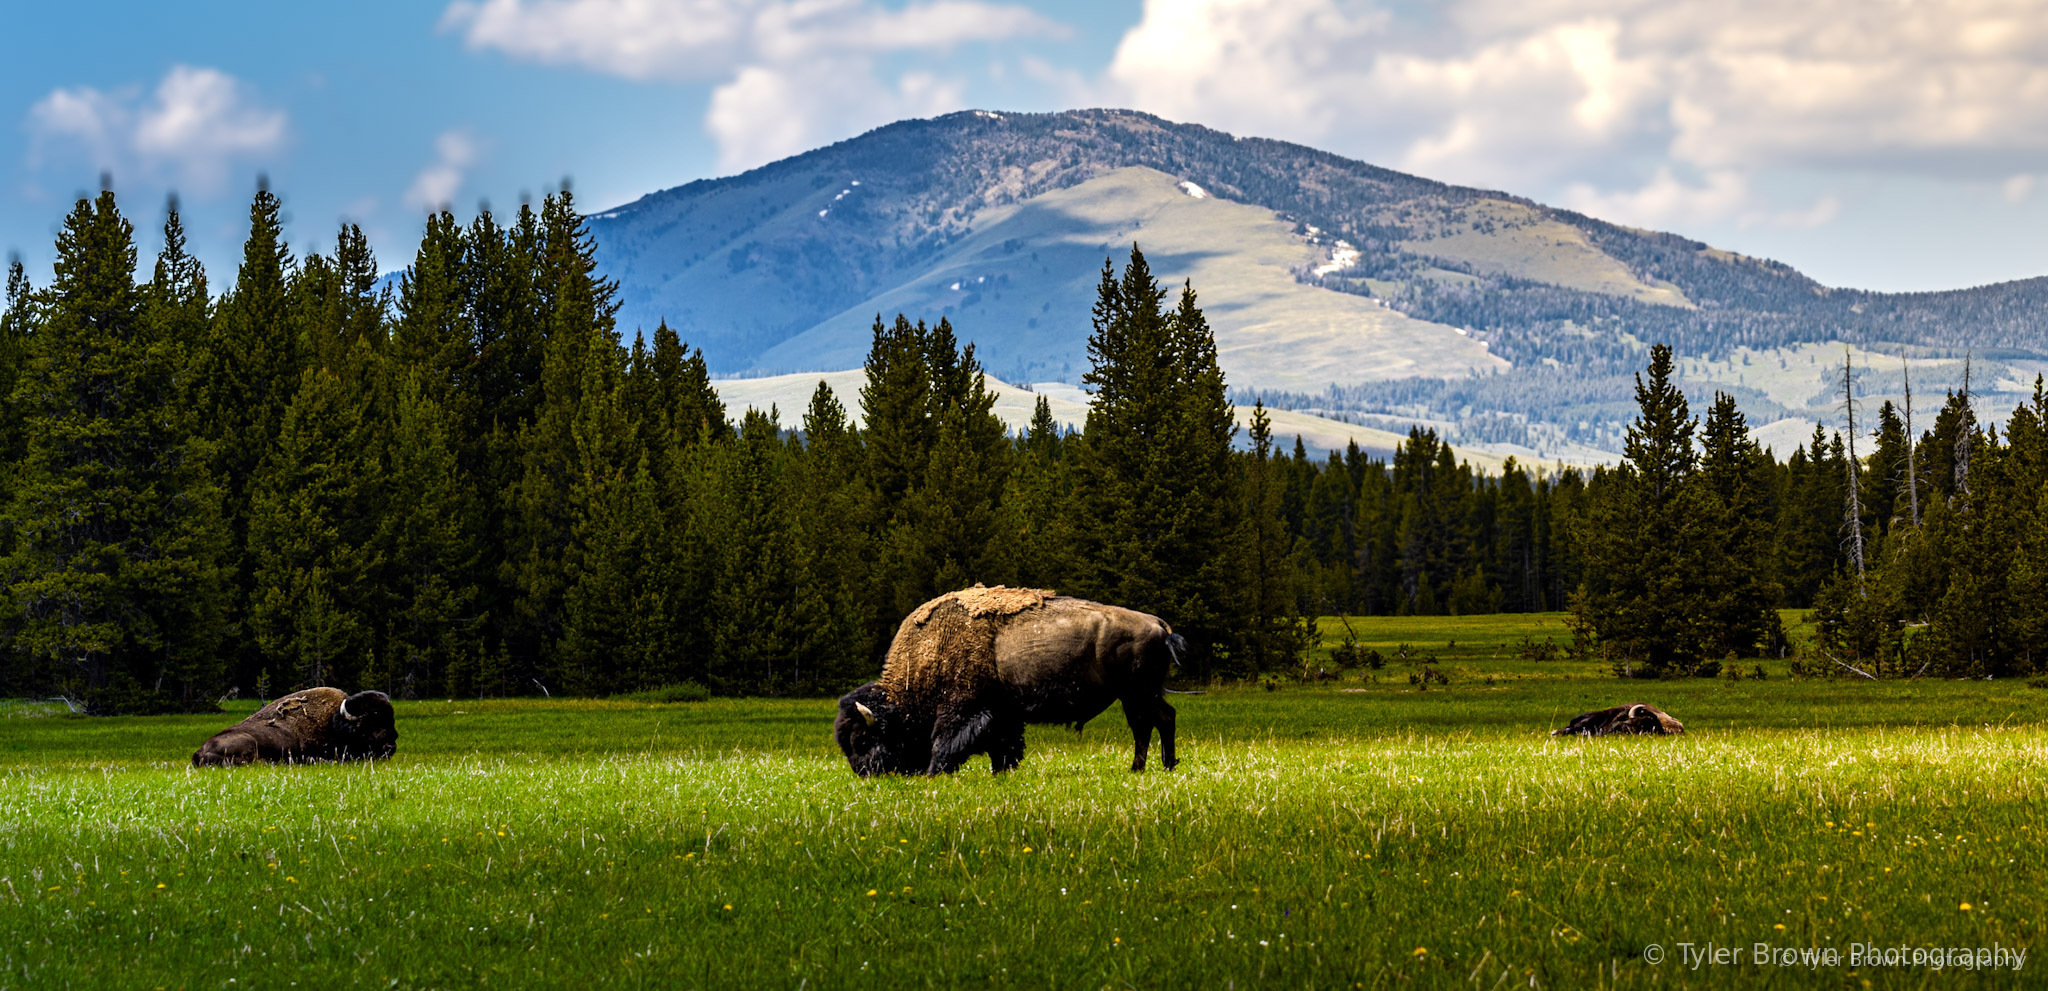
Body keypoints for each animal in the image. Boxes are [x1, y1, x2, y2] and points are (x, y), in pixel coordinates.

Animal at [192, 688, 397, 766]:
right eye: (369, 722)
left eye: (391, 719)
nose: (390, 747)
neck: (334, 724)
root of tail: (198, 752)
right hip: (248, 742)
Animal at [835, 586, 1183, 776]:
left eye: (862, 741)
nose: (866, 774)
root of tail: (1159, 624)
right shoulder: (1003, 714)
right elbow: (1004, 745)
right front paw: (1002, 771)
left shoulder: (963, 710)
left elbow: (945, 744)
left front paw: (935, 773)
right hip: (1137, 695)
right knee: (1154, 722)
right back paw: (1152, 766)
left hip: (1138, 693)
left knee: (1153, 722)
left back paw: (1152, 766)